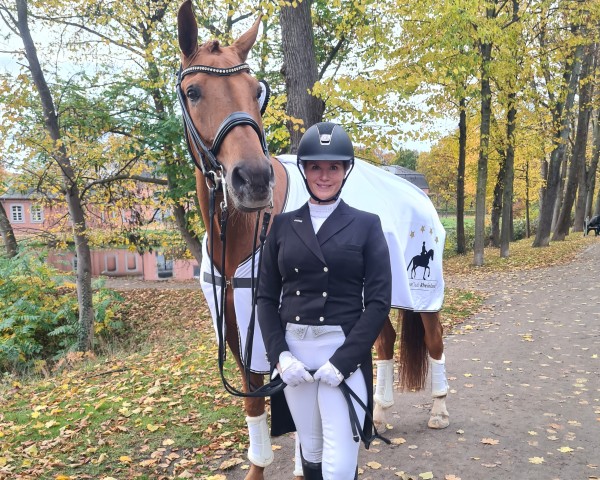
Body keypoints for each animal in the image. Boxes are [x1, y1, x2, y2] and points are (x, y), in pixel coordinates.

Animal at [173, 1, 436, 478]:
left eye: (256, 91)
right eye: (194, 91)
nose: (253, 179)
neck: (244, 233)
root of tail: (418, 190)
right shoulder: (239, 330)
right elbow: (257, 406)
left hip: (425, 297)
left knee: (435, 340)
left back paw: (440, 410)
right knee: (384, 340)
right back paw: (379, 412)